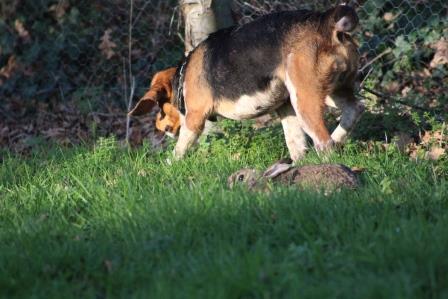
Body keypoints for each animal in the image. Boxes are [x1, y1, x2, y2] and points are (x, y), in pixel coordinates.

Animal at [130, 4, 364, 162]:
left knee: (324, 140)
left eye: (160, 109)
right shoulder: (285, 109)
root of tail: (325, 20)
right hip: (330, 91)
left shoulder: (195, 118)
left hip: (305, 100)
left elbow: (179, 150)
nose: (157, 126)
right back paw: (338, 139)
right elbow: (295, 143)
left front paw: (169, 165)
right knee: (355, 109)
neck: (183, 74)